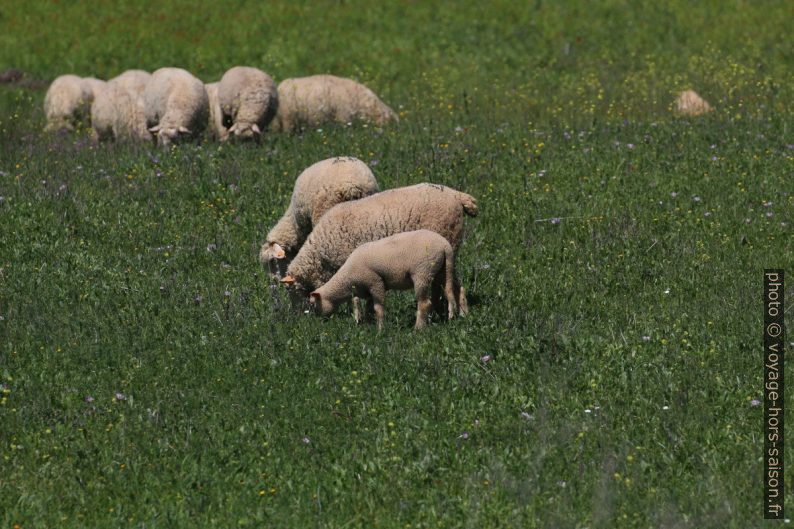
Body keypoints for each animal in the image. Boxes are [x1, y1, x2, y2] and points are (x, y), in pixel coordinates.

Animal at [280, 184, 474, 318]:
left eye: (294, 292)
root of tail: (456, 194)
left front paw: (358, 318)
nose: (301, 316)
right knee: (453, 283)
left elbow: (355, 297)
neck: (320, 254)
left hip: (445, 242)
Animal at [306, 228, 460, 328]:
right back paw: (451, 317)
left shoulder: (375, 282)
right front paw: (367, 323)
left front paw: (380, 329)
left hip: (422, 272)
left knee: (424, 303)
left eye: (313, 304)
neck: (347, 279)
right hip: (444, 270)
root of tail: (445, 245)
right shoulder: (367, 289)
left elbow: (378, 308)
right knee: (449, 293)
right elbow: (369, 308)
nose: (318, 323)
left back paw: (418, 328)